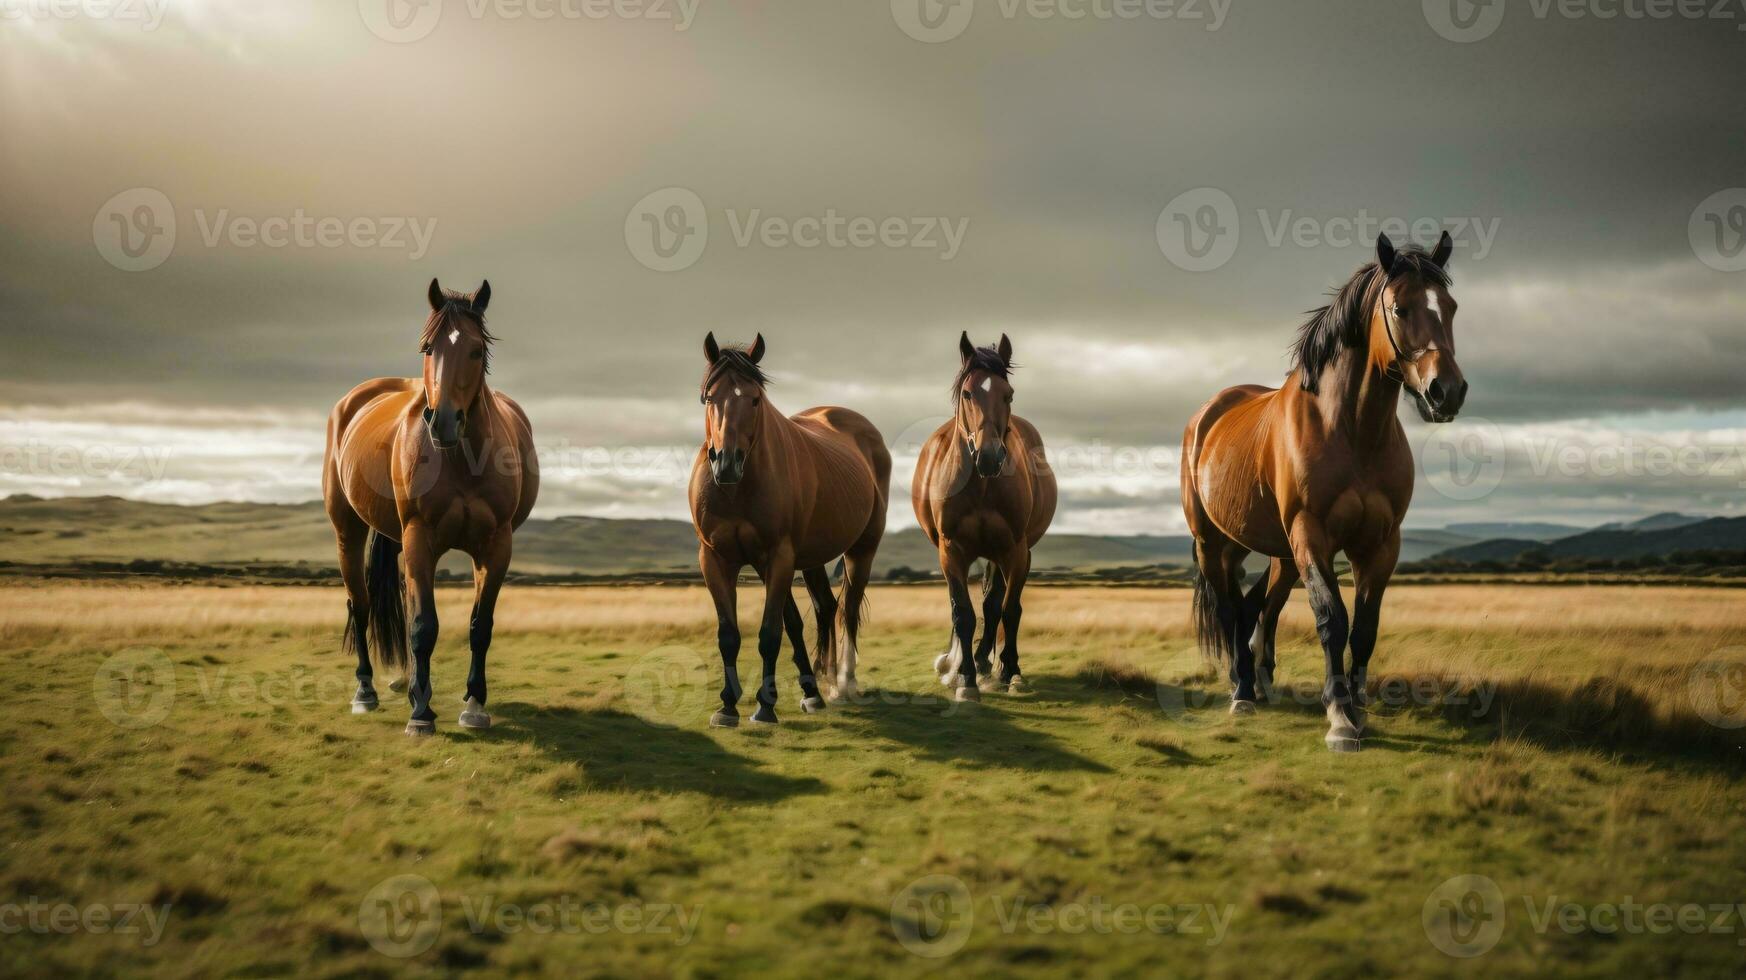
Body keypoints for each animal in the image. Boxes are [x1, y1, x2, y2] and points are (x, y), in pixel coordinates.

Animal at [321, 276, 537, 733]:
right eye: (428, 348)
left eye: (476, 350)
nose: (443, 422)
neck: (462, 459)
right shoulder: (420, 538)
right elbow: (423, 626)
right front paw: (421, 713)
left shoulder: (496, 547)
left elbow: (480, 626)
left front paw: (474, 705)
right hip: (349, 531)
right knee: (359, 604)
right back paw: (366, 691)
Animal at [687, 331, 893, 723]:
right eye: (709, 397)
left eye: (754, 399)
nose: (727, 465)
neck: (737, 489)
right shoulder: (715, 559)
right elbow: (731, 634)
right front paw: (728, 704)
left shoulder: (778, 556)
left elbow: (771, 632)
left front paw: (765, 707)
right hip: (811, 558)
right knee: (825, 608)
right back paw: (819, 687)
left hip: (861, 550)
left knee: (849, 611)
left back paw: (844, 684)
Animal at [907, 333, 1054, 695]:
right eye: (967, 393)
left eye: (1008, 394)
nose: (989, 457)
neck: (982, 486)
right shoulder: (951, 550)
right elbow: (962, 612)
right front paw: (965, 678)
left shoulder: (1015, 550)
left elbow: (1008, 609)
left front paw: (1010, 671)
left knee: (994, 602)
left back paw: (989, 663)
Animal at [1180, 232, 1466, 751]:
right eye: (1400, 308)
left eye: (1450, 307)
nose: (1446, 392)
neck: (1351, 428)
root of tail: (1207, 414)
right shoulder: (1311, 535)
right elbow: (1332, 619)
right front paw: (1338, 719)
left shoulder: (1380, 544)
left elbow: (1365, 628)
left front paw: (1359, 709)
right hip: (1215, 544)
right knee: (1230, 609)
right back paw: (1241, 691)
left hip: (1274, 552)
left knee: (1257, 608)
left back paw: (1259, 680)